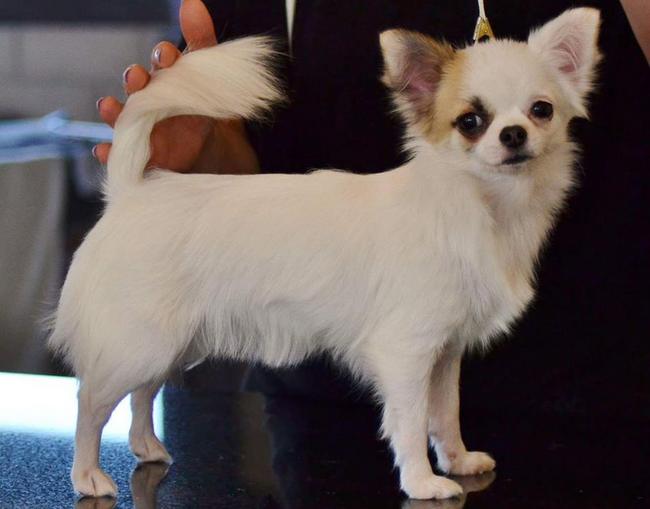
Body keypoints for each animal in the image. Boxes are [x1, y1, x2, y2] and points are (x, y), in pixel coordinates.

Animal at [49, 8, 601, 500]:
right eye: (470, 121)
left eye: (542, 110)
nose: (513, 134)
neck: (483, 207)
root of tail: (131, 192)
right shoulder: (406, 353)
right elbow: (410, 423)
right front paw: (422, 483)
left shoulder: (444, 353)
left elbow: (445, 413)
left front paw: (458, 460)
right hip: (141, 341)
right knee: (90, 402)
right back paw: (87, 476)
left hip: (168, 342)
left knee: (142, 393)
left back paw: (147, 447)